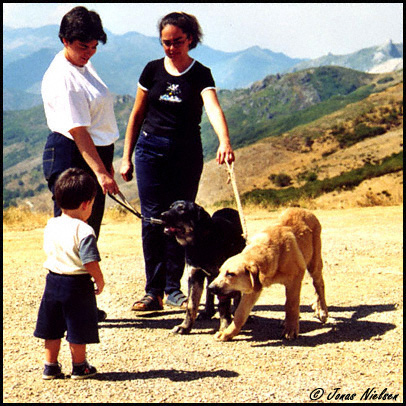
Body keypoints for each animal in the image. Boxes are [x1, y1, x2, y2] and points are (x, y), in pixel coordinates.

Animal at [161, 201, 244, 334]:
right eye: (170, 207)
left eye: (182, 209)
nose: (162, 215)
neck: (201, 242)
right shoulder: (194, 276)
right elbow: (191, 305)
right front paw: (185, 326)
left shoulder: (223, 278)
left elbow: (224, 305)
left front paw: (225, 327)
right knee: (210, 291)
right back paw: (207, 312)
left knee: (237, 294)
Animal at [208, 208, 328, 340]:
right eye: (219, 272)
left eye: (230, 274)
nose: (210, 288)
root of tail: (303, 210)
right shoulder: (253, 287)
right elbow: (240, 313)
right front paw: (227, 333)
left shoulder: (295, 280)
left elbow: (291, 305)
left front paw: (291, 329)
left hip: (314, 263)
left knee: (319, 284)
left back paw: (322, 311)